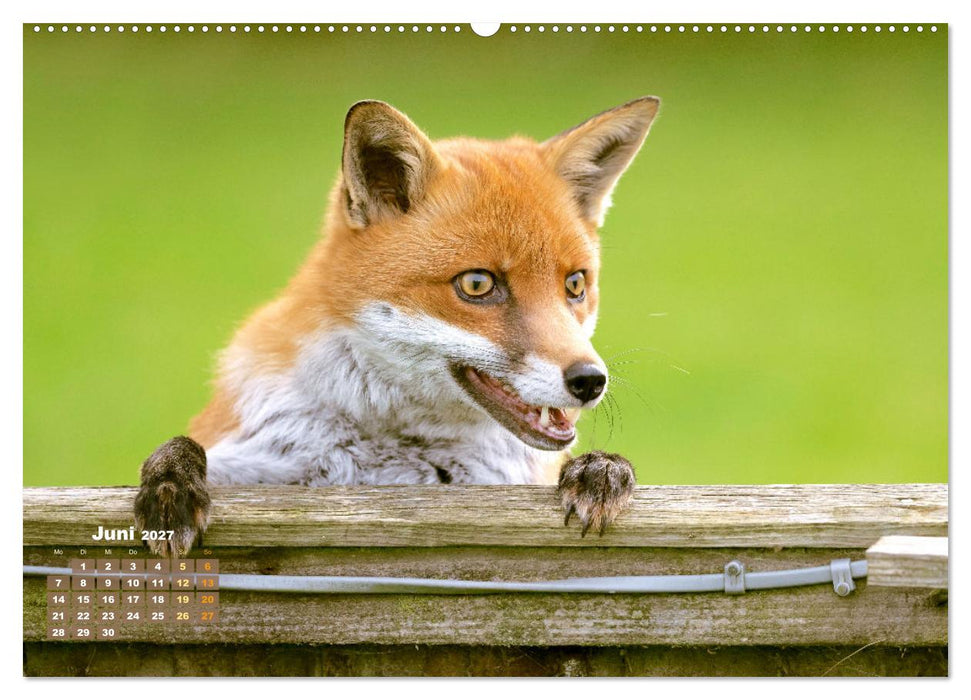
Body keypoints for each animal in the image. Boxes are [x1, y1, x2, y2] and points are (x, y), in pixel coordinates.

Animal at [134, 96, 661, 557]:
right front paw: (170, 486)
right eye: (477, 284)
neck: (392, 451)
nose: (590, 381)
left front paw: (602, 469)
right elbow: (182, 448)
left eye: (575, 284)